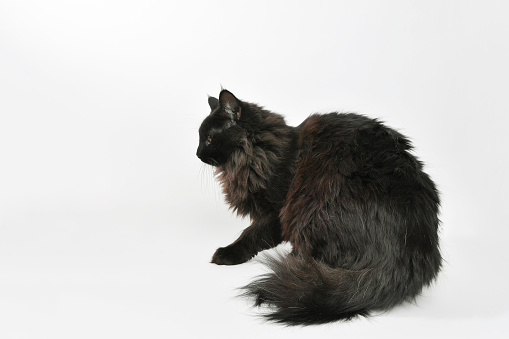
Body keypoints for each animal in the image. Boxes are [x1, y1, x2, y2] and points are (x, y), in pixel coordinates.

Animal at [195, 89, 440, 326]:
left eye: (208, 139)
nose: (197, 154)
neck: (256, 153)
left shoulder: (276, 212)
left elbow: (251, 235)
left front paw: (226, 254)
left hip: (312, 209)